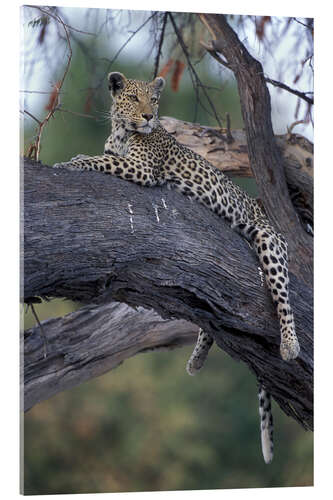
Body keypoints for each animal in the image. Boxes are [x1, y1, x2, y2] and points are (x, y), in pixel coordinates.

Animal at [53, 71, 300, 464]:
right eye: (133, 98)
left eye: (153, 100)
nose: (148, 117)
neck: (121, 131)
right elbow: (103, 157)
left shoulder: (139, 168)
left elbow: (97, 161)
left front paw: (71, 162)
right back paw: (196, 361)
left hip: (269, 243)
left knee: (282, 298)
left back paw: (290, 345)